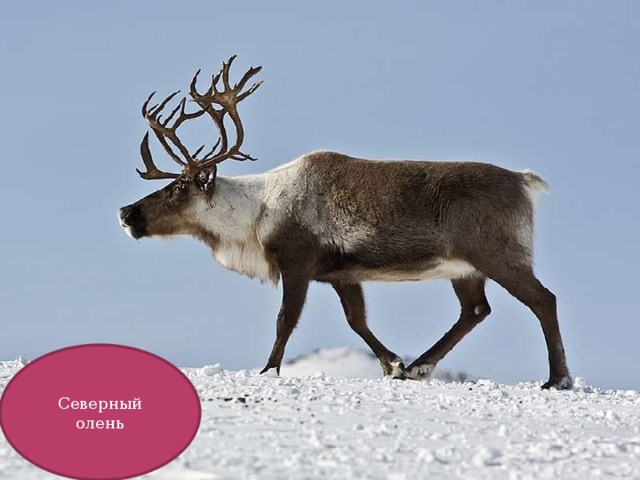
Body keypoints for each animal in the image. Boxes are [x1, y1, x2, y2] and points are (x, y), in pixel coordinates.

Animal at [118, 56, 572, 390]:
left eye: (178, 187)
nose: (126, 213)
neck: (257, 215)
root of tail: (524, 181)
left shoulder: (297, 262)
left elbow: (285, 320)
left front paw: (268, 370)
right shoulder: (342, 273)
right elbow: (357, 320)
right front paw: (394, 364)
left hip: (498, 253)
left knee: (543, 299)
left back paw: (557, 379)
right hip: (464, 268)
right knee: (475, 309)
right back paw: (420, 366)